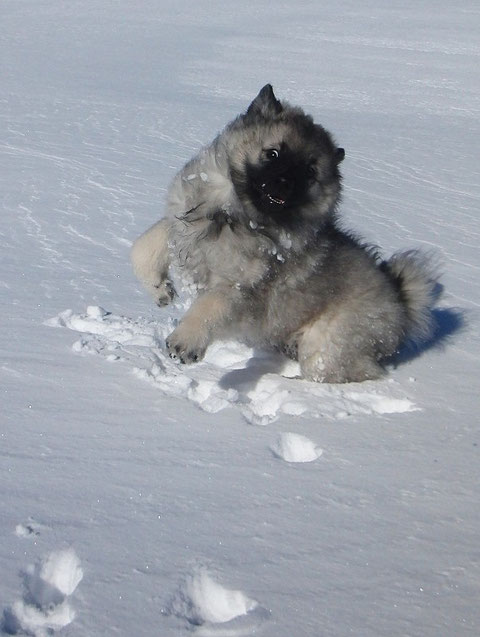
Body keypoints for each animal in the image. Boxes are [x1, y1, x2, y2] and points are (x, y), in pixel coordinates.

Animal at [131, 84, 438, 382]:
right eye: (273, 154)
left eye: (310, 171)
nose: (285, 182)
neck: (237, 216)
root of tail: (401, 302)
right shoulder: (183, 222)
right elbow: (146, 243)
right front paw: (160, 289)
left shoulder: (237, 288)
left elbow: (209, 307)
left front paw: (185, 341)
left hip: (328, 342)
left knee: (344, 373)